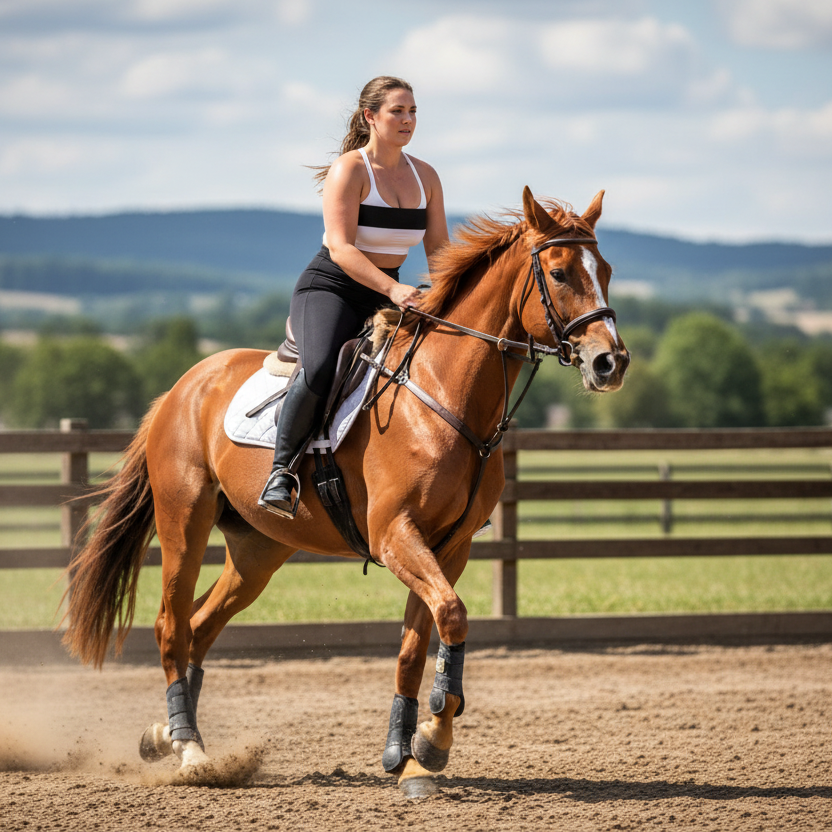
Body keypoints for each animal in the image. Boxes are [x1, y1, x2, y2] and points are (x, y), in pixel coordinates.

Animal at [62, 187, 629, 796]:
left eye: (607, 271)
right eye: (560, 272)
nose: (611, 362)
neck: (444, 394)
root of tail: (179, 389)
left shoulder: (447, 547)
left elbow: (415, 646)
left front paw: (409, 755)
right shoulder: (395, 534)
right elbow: (452, 616)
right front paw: (431, 738)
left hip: (258, 551)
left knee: (198, 625)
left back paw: (165, 732)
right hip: (183, 525)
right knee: (171, 625)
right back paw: (190, 750)